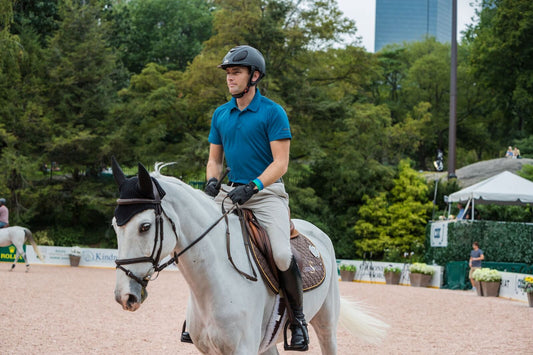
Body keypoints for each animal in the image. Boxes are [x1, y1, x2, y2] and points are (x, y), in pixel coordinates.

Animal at [112, 161, 386, 355]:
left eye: (145, 226)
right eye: (115, 225)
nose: (124, 297)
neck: (215, 281)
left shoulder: (243, 349)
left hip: (327, 323)